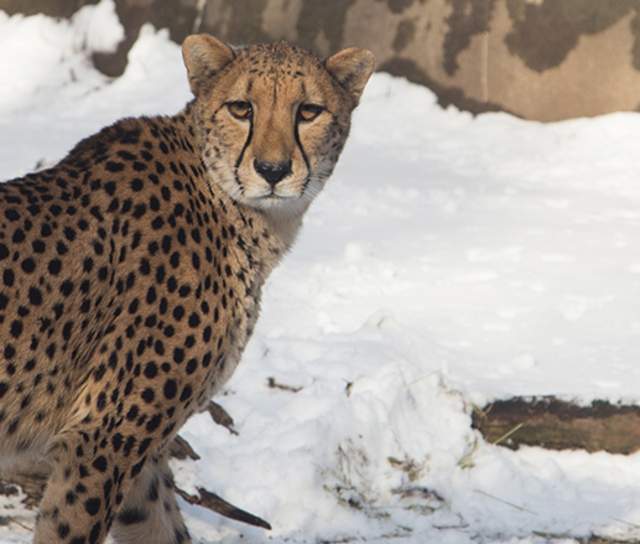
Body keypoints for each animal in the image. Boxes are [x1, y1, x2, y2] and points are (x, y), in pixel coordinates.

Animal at [0, 34, 374, 543]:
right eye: (241, 107)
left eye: (309, 111)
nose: (273, 169)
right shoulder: (100, 437)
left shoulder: (136, 454)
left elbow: (161, 525)